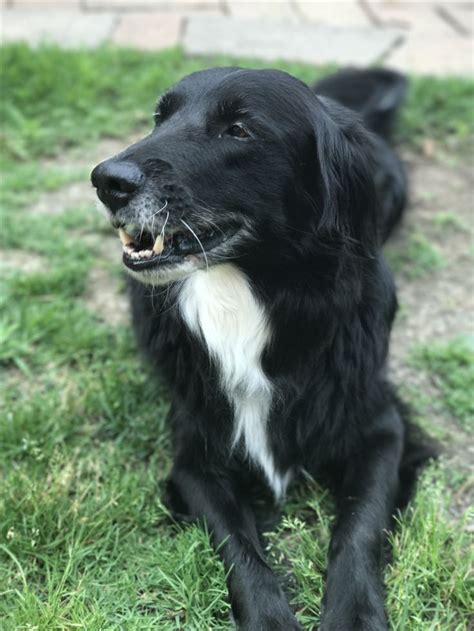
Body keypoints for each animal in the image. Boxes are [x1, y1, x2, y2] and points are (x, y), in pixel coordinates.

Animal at [90, 66, 428, 628]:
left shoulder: (381, 426)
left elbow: (359, 526)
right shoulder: (195, 459)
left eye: (239, 130)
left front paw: (354, 613)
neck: (248, 292)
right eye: (160, 117)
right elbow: (240, 548)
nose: (105, 181)